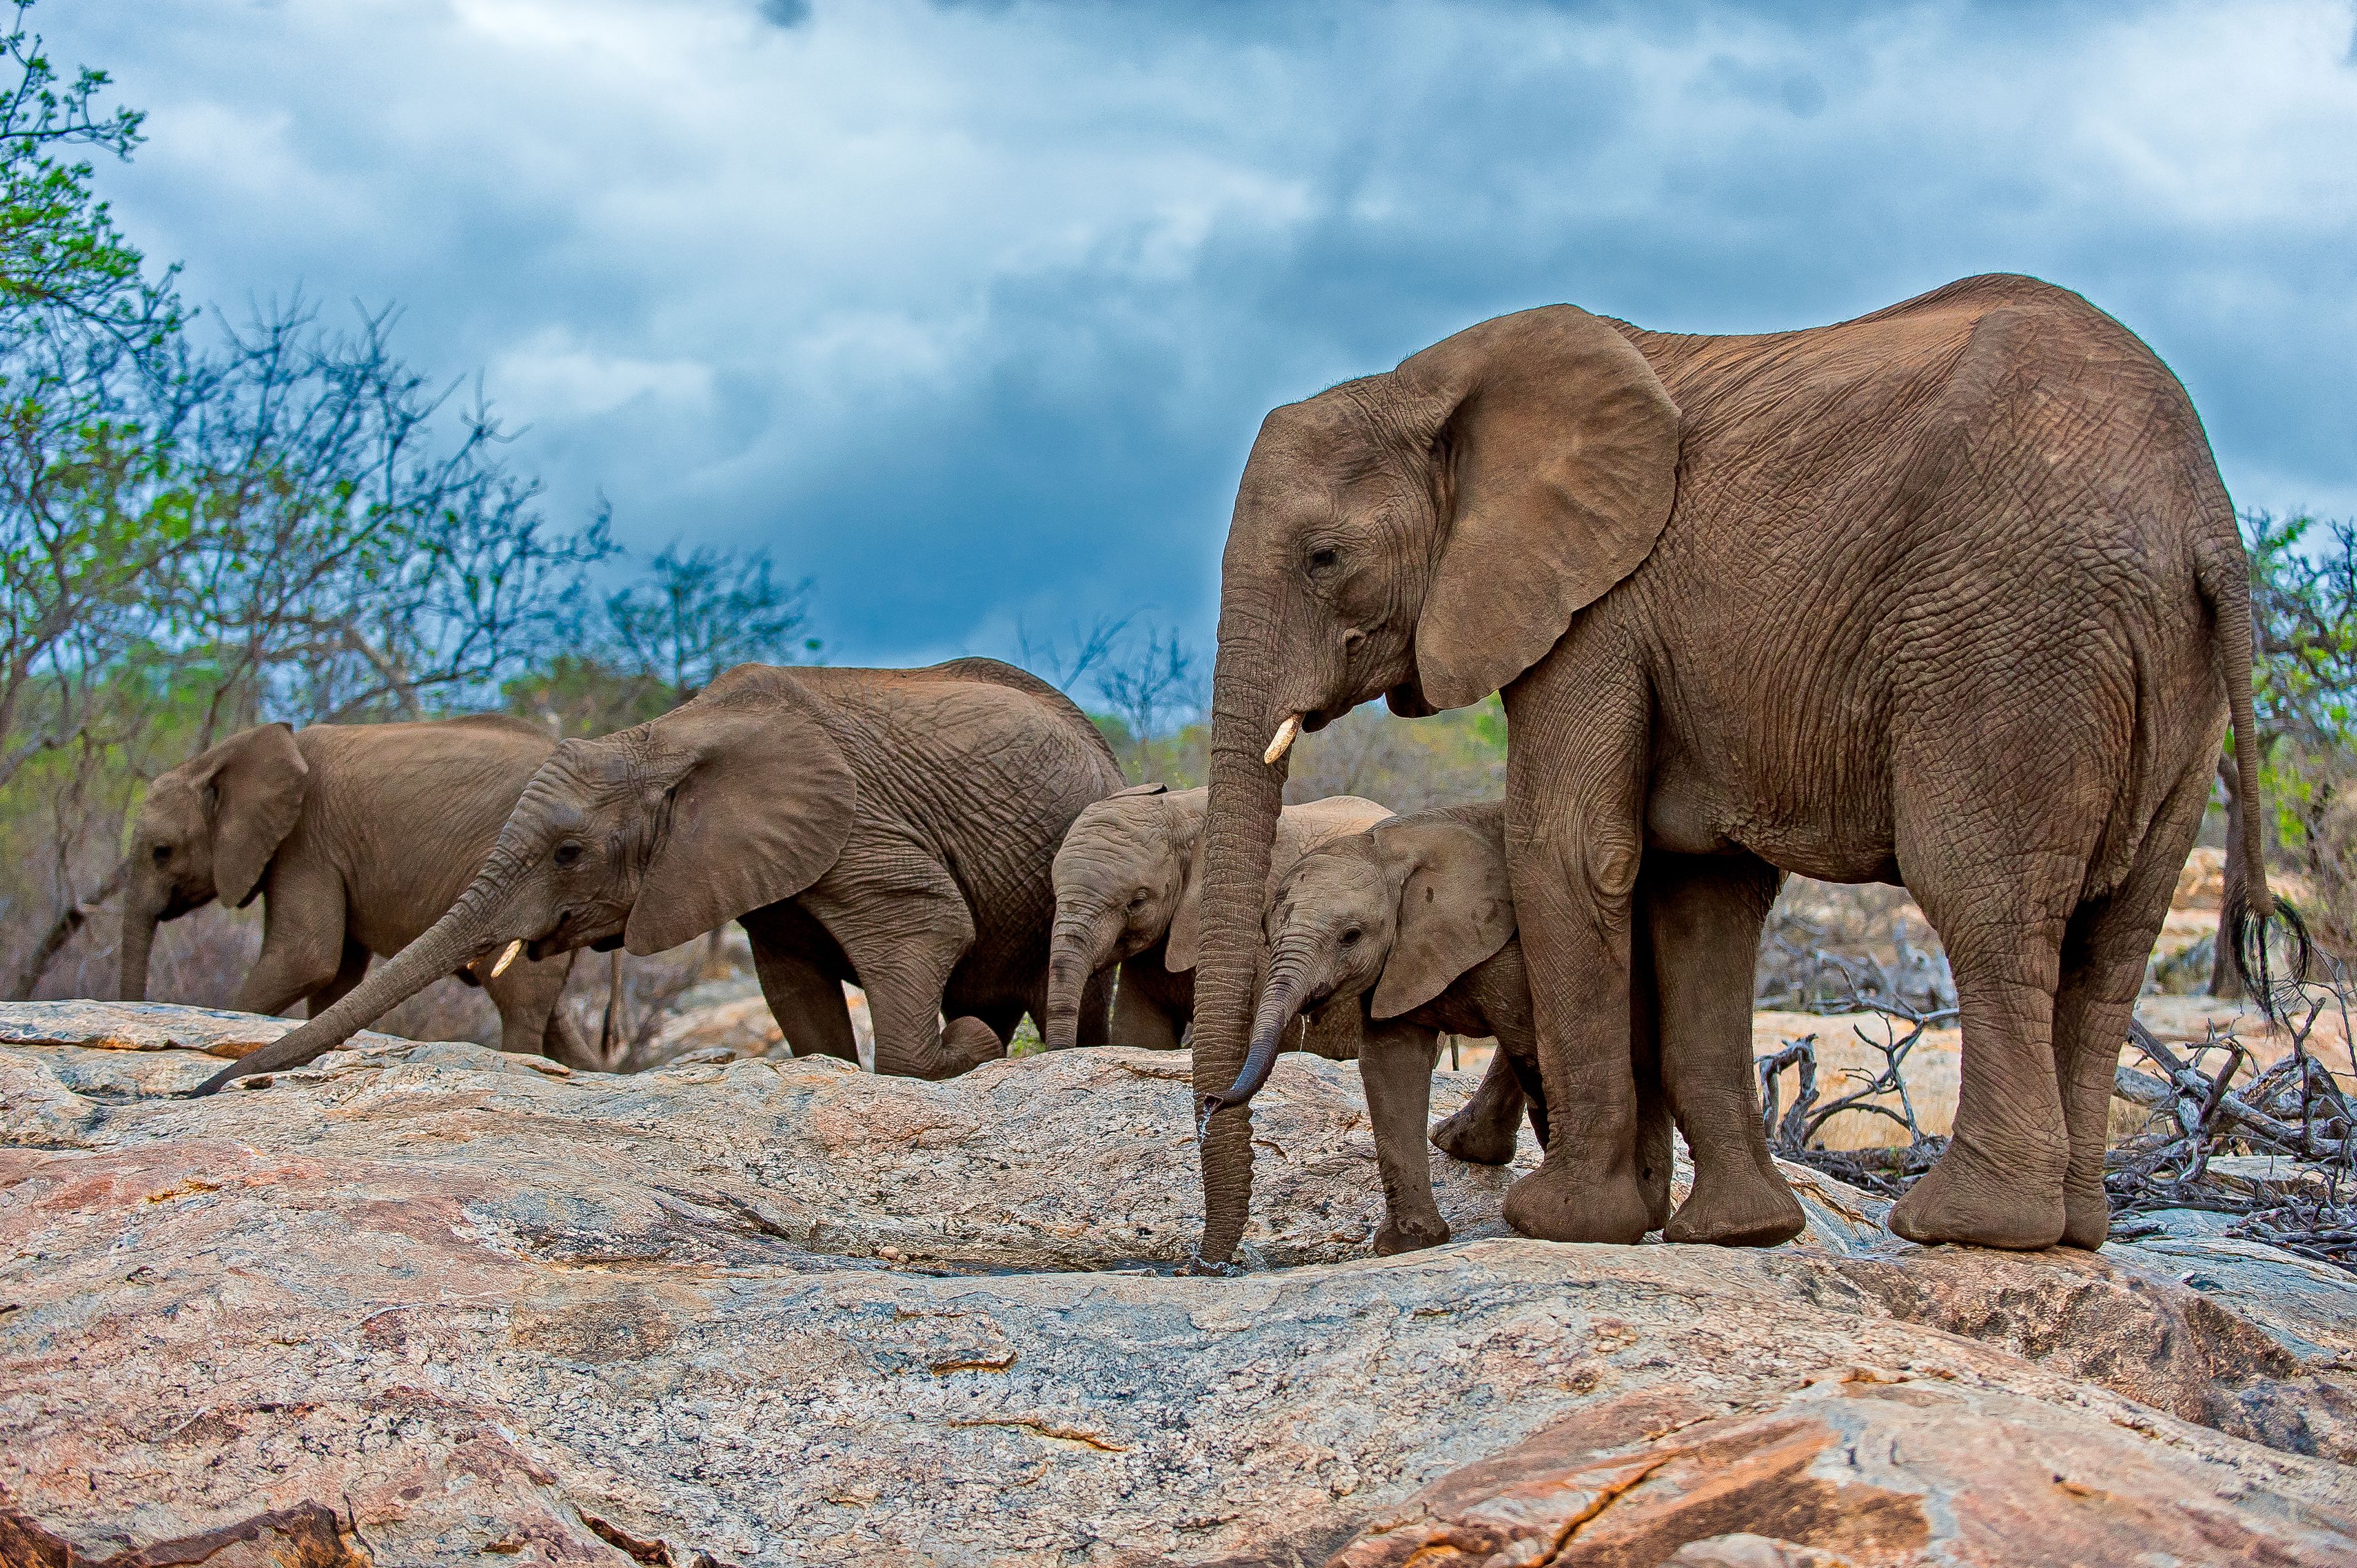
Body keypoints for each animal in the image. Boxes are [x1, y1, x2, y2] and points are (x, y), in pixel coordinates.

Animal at [121, 716, 595, 1066]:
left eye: (161, 852)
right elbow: (334, 979)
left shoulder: (305, 841)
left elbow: (305, 958)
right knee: (551, 1014)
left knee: (520, 1003)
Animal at [192, 658, 1125, 1094]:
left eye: (568, 853)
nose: (210, 1084)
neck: (662, 738)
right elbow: (793, 984)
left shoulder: (858, 826)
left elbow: (928, 926)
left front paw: (957, 1054)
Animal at [1223, 801, 1551, 1254]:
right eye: (1266, 931)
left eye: (1351, 936)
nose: (1214, 1101)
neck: (1388, 848)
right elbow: (1390, 1064)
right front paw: (1410, 1244)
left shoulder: (1504, 942)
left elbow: (1533, 1041)